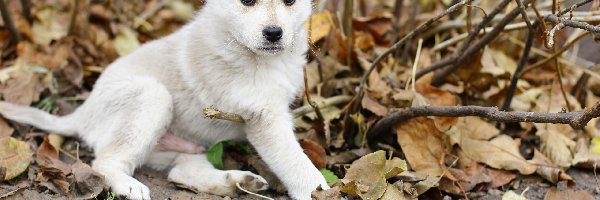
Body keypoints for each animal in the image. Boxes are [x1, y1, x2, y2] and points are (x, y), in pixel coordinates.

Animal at [0, 0, 328, 199]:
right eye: (246, 2)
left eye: (290, 2)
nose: (274, 33)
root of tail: (83, 112)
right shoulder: (265, 118)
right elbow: (297, 164)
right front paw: (319, 189)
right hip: (152, 98)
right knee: (105, 162)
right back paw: (130, 187)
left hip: (190, 144)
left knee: (182, 171)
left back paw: (236, 183)